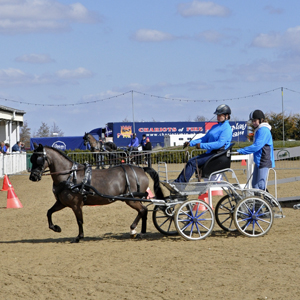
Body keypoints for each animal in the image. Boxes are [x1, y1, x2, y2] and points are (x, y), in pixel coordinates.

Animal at [28, 144, 164, 244]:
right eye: (31, 159)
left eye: (39, 159)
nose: (33, 177)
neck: (70, 176)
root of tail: (141, 169)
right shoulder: (62, 202)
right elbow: (49, 212)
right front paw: (56, 228)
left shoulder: (76, 205)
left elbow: (79, 221)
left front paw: (79, 237)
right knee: (144, 211)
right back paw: (140, 232)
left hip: (131, 199)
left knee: (142, 210)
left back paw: (134, 230)